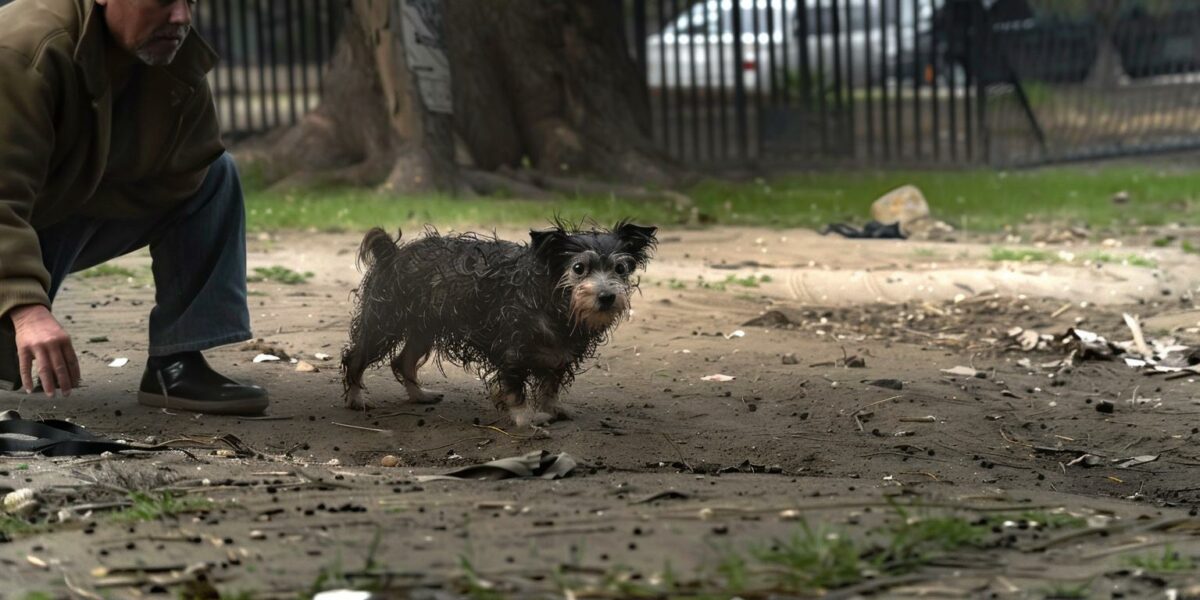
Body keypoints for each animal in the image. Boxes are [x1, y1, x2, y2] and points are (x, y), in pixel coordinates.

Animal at [338, 223, 657, 429]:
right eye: (579, 268)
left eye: (620, 268)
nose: (607, 297)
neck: (552, 299)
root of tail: (392, 253)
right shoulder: (512, 350)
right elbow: (515, 391)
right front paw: (526, 418)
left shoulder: (559, 354)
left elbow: (550, 386)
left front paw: (552, 408)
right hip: (384, 323)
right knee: (355, 357)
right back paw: (356, 398)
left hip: (423, 329)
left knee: (403, 361)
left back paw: (419, 395)